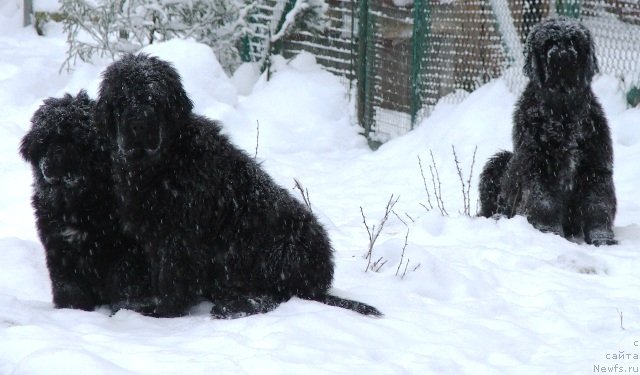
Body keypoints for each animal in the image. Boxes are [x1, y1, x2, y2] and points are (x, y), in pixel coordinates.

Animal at [19, 91, 152, 312]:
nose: (56, 153)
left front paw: (125, 310)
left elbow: (125, 284)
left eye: (75, 139)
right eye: (46, 140)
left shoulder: (124, 250)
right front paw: (72, 310)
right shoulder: (60, 249)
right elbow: (69, 286)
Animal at [95, 55, 380, 320]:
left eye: (154, 100)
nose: (138, 124)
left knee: (276, 296)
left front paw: (161, 312)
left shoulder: (180, 237)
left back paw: (234, 306)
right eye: (123, 100)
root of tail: (320, 279)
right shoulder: (156, 236)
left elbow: (172, 279)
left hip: (277, 249)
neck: (163, 162)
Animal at [478, 16, 616, 247]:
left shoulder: (595, 166)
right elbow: (544, 203)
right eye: (549, 42)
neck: (562, 111)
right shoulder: (539, 165)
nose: (563, 55)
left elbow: (598, 204)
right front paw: (548, 233)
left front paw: (602, 238)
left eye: (573, 41)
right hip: (498, 163)